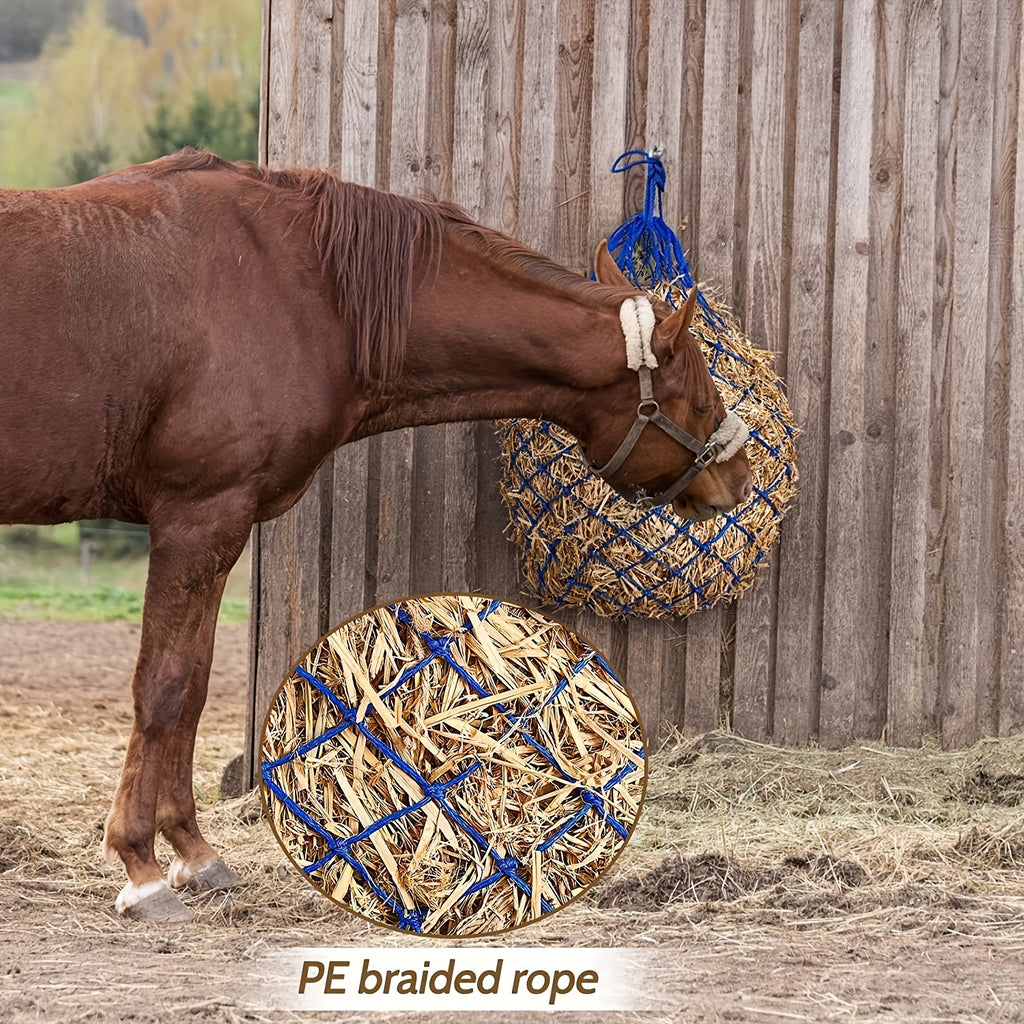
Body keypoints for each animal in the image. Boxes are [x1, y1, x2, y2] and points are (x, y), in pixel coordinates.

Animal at [0, 149, 752, 922]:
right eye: (698, 398)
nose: (740, 479)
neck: (302, 290)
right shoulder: (197, 516)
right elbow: (164, 687)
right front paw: (141, 868)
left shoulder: (214, 529)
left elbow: (196, 684)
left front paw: (195, 854)